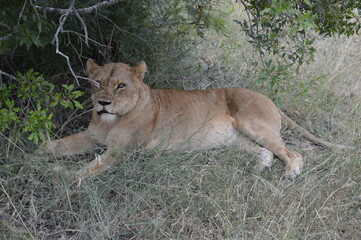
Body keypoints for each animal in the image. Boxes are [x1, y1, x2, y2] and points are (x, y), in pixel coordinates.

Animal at [38, 59, 346, 182]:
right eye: (97, 83)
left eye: (121, 85)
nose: (103, 103)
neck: (109, 121)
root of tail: (268, 97)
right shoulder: (91, 137)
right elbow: (51, 147)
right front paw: (31, 159)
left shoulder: (121, 152)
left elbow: (86, 170)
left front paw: (57, 174)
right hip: (235, 140)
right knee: (265, 151)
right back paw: (263, 168)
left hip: (254, 126)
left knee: (294, 153)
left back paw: (290, 173)